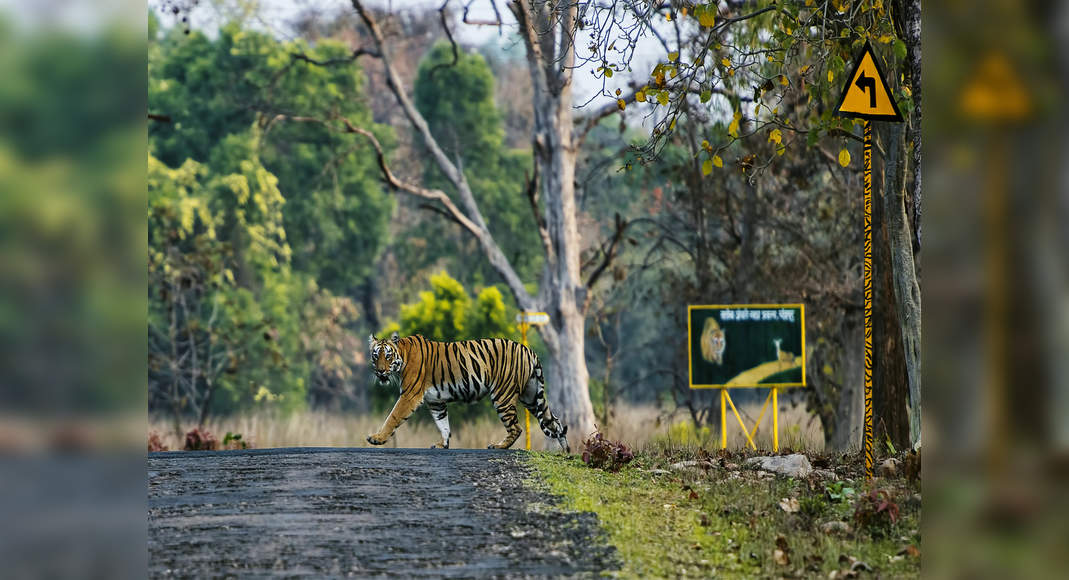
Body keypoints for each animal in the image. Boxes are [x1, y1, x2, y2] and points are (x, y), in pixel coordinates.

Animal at [365, 331, 568, 452]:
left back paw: (498, 446)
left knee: (516, 428)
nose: (380, 371)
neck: (403, 357)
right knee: (554, 422)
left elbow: (393, 417)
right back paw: (566, 451)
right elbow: (443, 424)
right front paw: (443, 444)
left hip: (502, 396)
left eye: (388, 356)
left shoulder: (410, 395)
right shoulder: (436, 401)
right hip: (531, 396)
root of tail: (528, 349)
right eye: (375, 356)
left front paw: (377, 438)